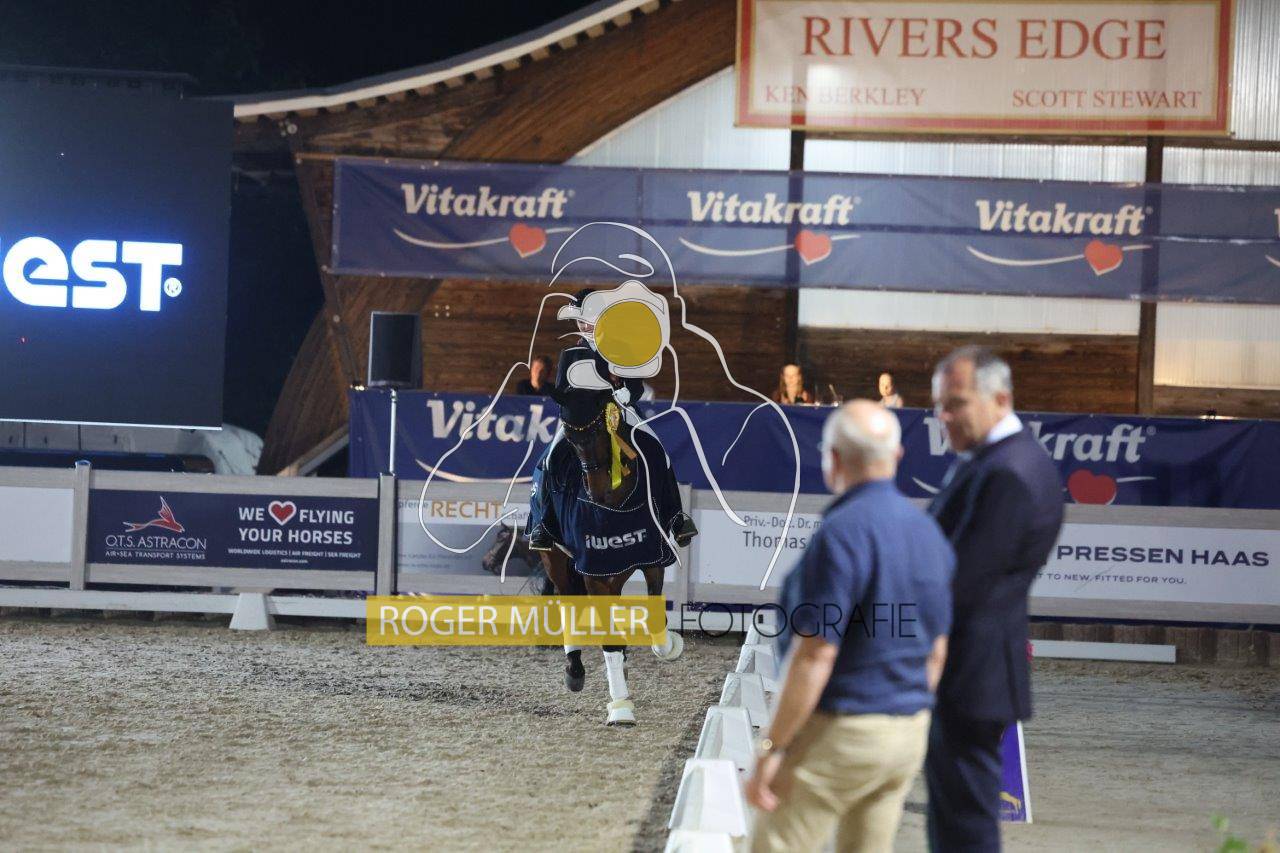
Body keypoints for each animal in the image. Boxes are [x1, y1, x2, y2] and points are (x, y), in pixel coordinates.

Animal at [535, 386, 684, 726]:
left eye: (600, 431)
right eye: (570, 437)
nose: (597, 491)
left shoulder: (653, 560)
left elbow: (655, 617)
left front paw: (669, 647)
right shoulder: (594, 572)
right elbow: (608, 640)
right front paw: (620, 707)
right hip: (557, 560)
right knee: (568, 604)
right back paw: (575, 670)